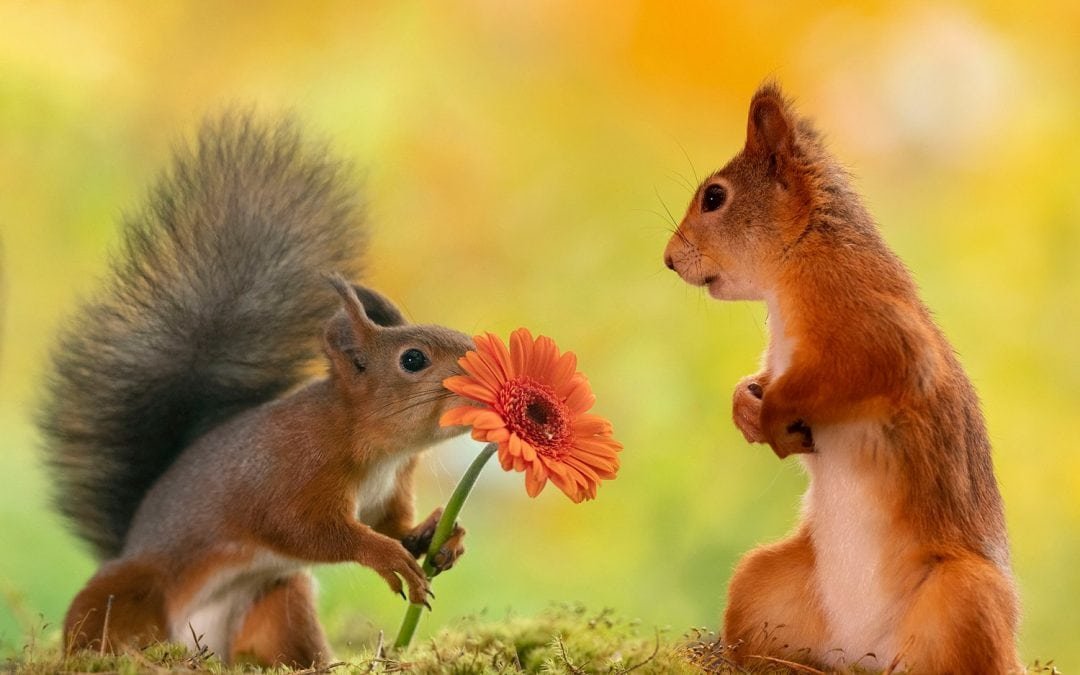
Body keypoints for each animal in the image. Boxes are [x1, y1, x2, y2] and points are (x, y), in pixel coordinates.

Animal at [39, 114, 475, 668]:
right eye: (413, 359)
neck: (377, 448)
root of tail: (200, 643)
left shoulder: (388, 493)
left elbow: (394, 526)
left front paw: (443, 535)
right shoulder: (288, 473)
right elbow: (305, 530)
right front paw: (385, 557)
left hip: (277, 599)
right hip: (132, 588)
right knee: (98, 621)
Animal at [664, 84, 1021, 673]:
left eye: (714, 198)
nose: (668, 260)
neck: (795, 263)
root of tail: (865, 650)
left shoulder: (872, 325)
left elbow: (847, 373)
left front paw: (774, 416)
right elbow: (760, 380)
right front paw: (745, 408)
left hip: (966, 594)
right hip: (760, 583)